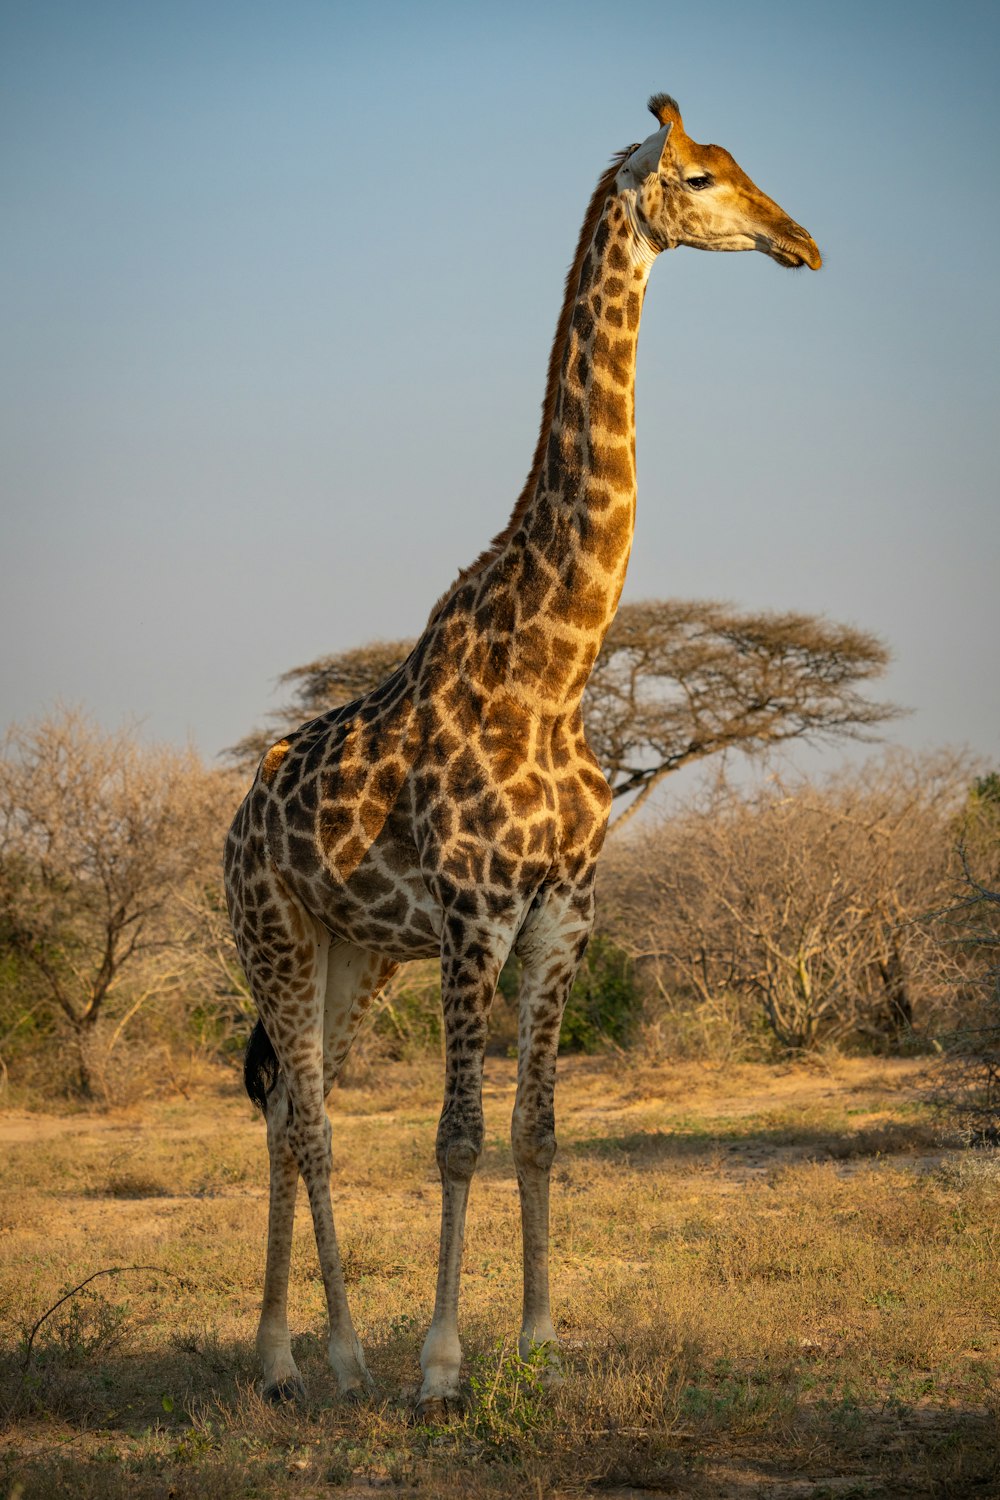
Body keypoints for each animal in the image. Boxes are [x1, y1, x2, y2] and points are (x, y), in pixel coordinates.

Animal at [224, 93, 821, 1416]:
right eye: (700, 178)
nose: (800, 242)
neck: (551, 674)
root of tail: (233, 827)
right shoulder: (472, 916)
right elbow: (454, 1137)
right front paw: (442, 1366)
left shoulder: (560, 919)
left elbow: (537, 1132)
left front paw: (540, 1344)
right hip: (271, 936)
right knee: (309, 1123)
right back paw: (328, 1356)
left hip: (350, 956)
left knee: (291, 1105)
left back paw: (294, 1353)